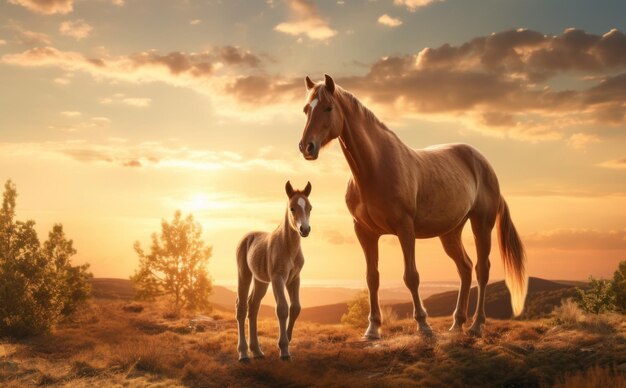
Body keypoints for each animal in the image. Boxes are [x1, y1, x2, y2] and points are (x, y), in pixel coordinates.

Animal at [235, 180, 310, 362]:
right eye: (292, 208)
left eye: (310, 207)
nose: (304, 229)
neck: (288, 248)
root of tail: (247, 237)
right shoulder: (278, 278)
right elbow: (282, 308)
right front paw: (283, 350)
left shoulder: (294, 278)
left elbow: (295, 307)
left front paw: (288, 339)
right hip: (244, 274)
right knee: (242, 307)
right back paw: (243, 354)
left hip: (261, 281)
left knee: (253, 306)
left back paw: (257, 351)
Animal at [296, 74, 520, 338]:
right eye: (306, 109)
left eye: (328, 108)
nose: (307, 147)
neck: (375, 168)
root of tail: (483, 162)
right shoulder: (364, 232)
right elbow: (372, 278)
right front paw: (372, 328)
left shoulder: (405, 229)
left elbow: (411, 276)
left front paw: (423, 325)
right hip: (450, 233)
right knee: (464, 268)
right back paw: (457, 324)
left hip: (482, 224)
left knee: (482, 269)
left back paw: (476, 326)